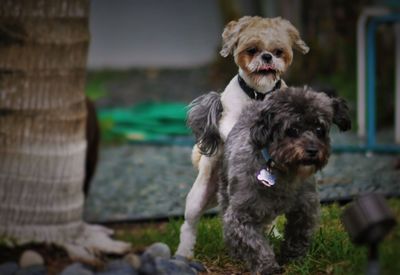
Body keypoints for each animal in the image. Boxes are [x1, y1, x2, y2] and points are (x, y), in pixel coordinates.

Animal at [175, 16, 310, 260]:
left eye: (279, 51)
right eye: (252, 50)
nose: (267, 57)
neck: (259, 95)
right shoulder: (228, 121)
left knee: (267, 219)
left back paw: (272, 233)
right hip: (199, 197)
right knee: (189, 225)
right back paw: (183, 253)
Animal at [195, 87, 352, 274]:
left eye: (319, 129)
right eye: (292, 130)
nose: (313, 150)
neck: (281, 170)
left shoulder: (305, 209)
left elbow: (299, 235)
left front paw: (294, 259)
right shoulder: (241, 216)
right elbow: (255, 244)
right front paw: (267, 266)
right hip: (227, 192)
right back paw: (236, 252)